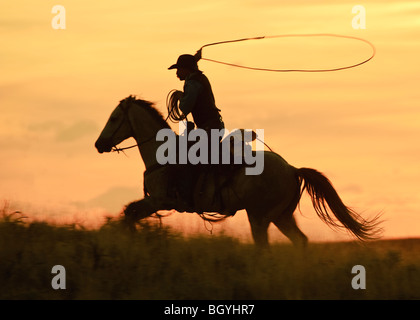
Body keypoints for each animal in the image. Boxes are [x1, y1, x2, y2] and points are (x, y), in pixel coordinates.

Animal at [94, 95, 380, 248]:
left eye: (114, 118)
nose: (99, 144)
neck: (162, 154)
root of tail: (291, 169)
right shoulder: (154, 201)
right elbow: (128, 213)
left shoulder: (159, 200)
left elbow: (130, 213)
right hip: (282, 216)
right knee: (300, 240)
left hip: (260, 217)